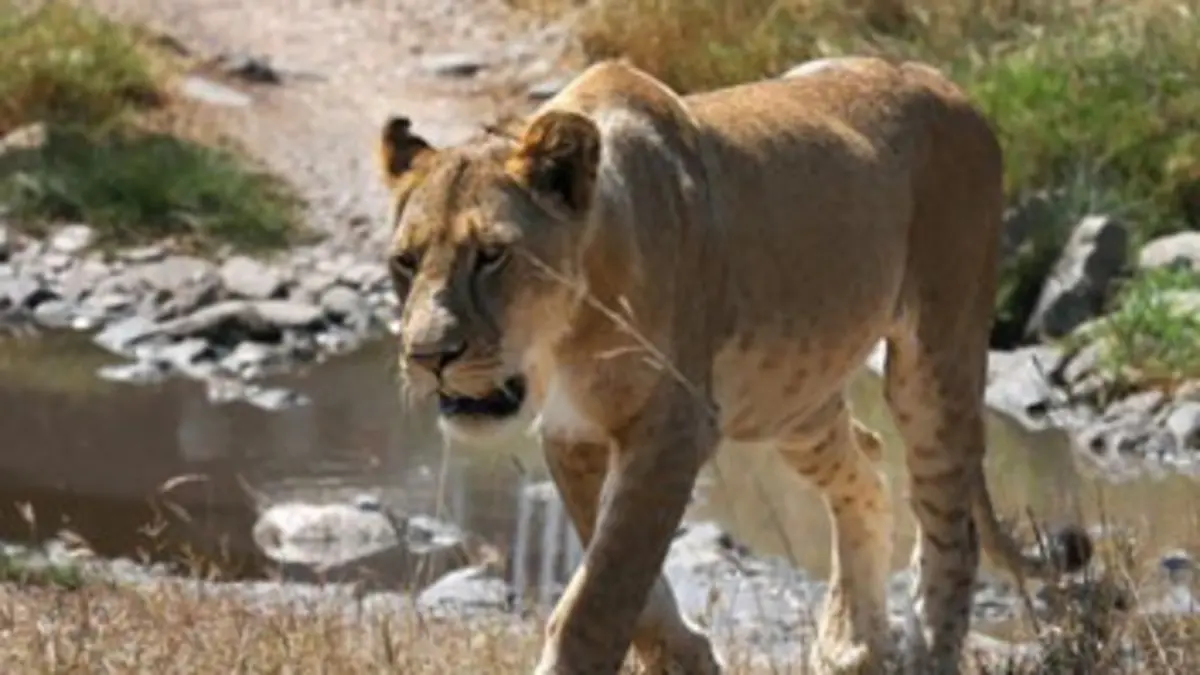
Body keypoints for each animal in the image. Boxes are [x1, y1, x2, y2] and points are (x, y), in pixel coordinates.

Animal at [374, 56, 1092, 675]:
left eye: (493, 255)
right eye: (405, 262)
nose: (427, 357)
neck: (569, 338)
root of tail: (945, 82)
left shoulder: (674, 428)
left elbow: (602, 592)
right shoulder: (574, 435)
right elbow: (627, 584)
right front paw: (688, 657)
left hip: (936, 355)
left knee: (951, 528)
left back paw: (923, 654)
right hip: (792, 395)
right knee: (865, 459)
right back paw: (851, 642)